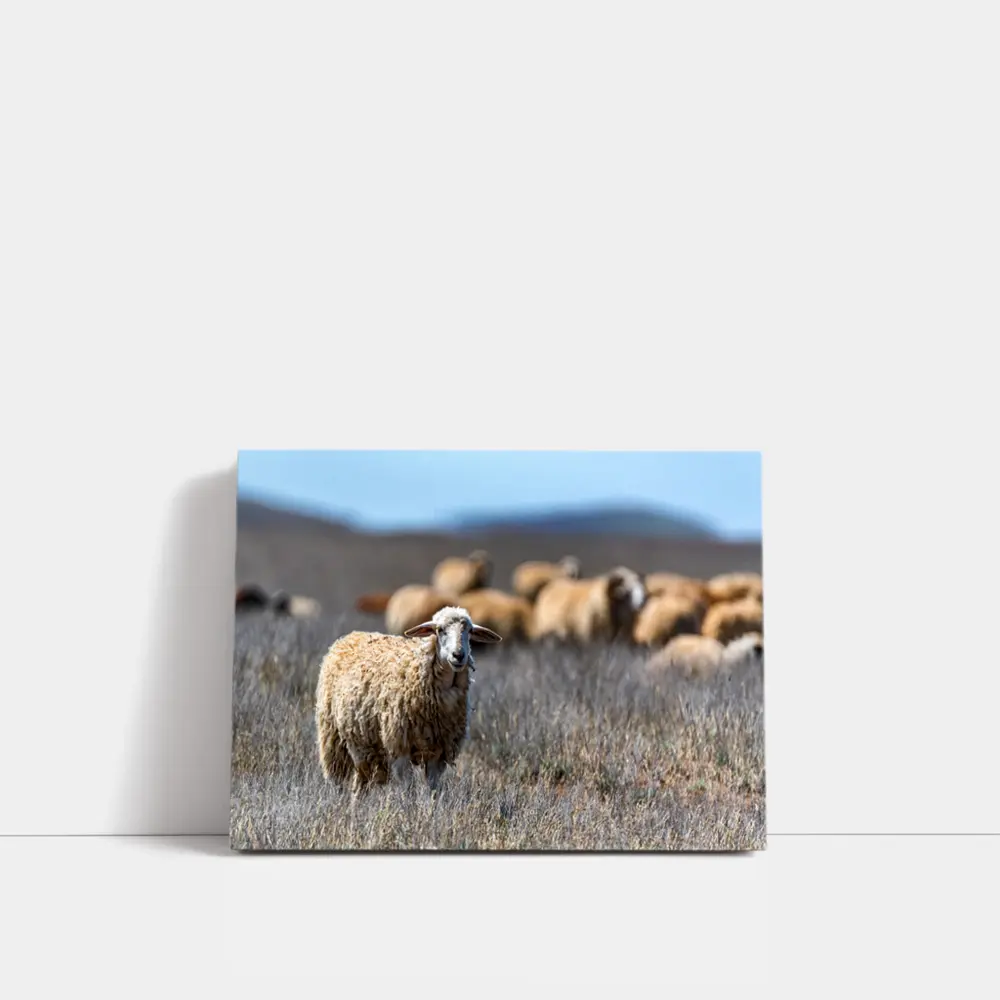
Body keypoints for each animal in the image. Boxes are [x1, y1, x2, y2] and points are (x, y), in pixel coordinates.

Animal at [314, 605, 502, 792]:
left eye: (469, 631)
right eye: (440, 630)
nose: (458, 655)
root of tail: (349, 636)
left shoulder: (438, 754)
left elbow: (433, 790)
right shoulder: (400, 749)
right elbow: (407, 789)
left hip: (365, 746)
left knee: (360, 784)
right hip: (332, 737)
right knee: (337, 779)